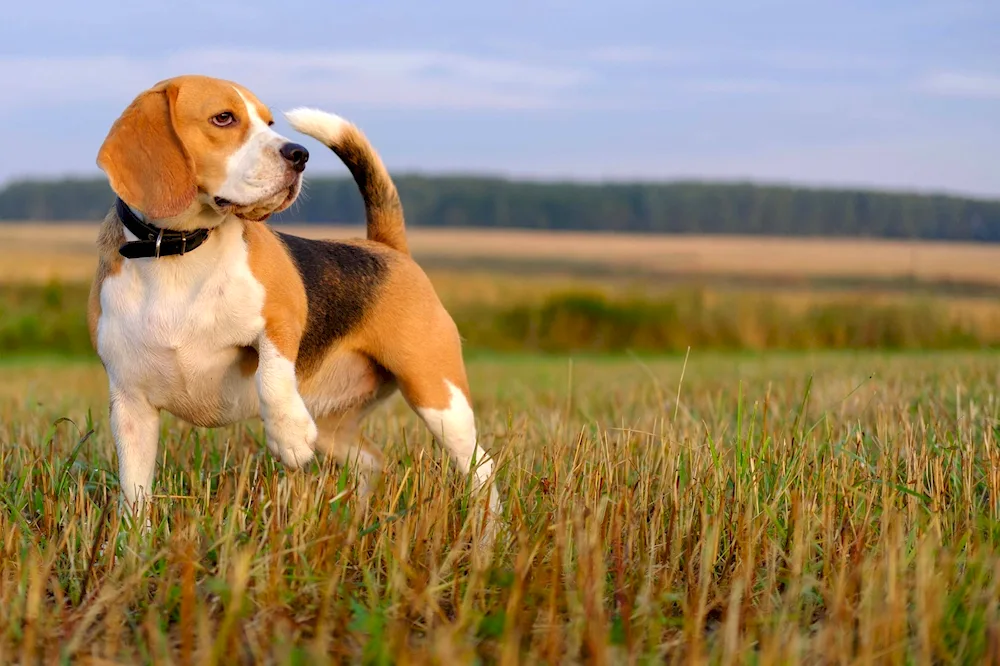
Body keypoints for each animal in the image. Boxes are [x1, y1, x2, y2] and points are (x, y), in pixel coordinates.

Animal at [88, 74, 500, 540]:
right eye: (223, 118)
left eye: (268, 122)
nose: (299, 155)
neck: (178, 252)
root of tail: (386, 247)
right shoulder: (131, 405)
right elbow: (134, 490)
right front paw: (132, 545)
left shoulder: (282, 315)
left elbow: (272, 371)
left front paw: (287, 435)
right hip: (335, 425)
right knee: (373, 461)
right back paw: (355, 521)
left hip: (437, 394)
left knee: (482, 466)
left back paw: (489, 536)